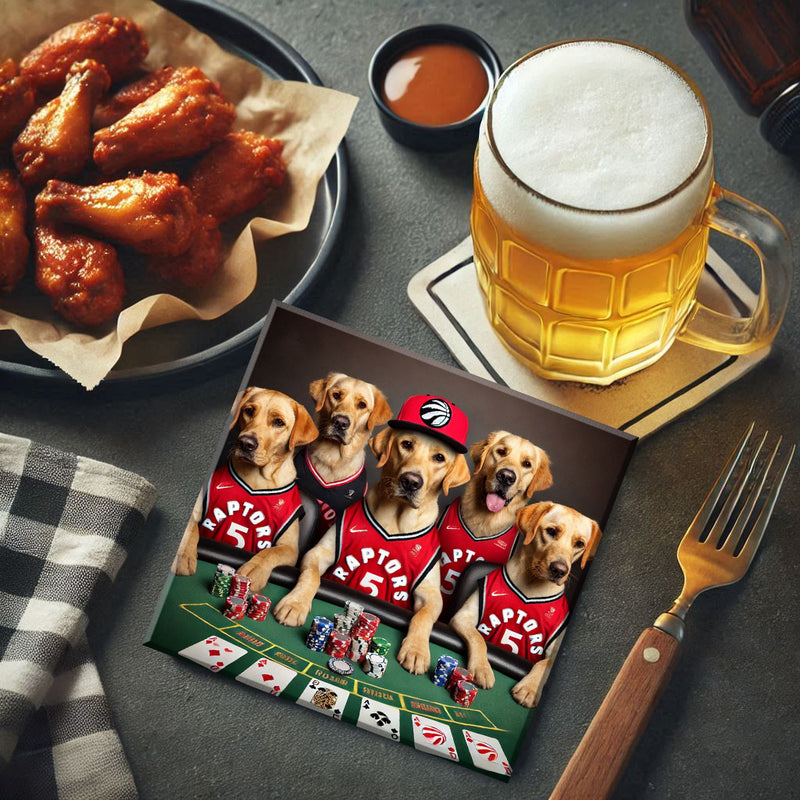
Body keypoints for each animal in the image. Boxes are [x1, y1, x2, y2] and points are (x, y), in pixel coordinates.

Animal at [172, 388, 318, 592]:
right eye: (249, 410)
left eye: (278, 422)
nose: (246, 443)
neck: (256, 478)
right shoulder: (198, 513)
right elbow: (192, 526)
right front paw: (184, 554)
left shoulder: (290, 549)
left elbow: (271, 552)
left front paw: (255, 568)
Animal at [276, 396, 472, 672]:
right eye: (406, 444)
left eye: (439, 457)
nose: (411, 481)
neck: (396, 519)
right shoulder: (318, 553)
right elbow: (311, 577)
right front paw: (296, 603)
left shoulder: (431, 593)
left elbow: (423, 615)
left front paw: (416, 649)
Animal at [450, 504, 600, 708]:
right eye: (551, 531)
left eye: (579, 544)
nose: (560, 570)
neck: (530, 586)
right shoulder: (463, 617)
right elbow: (478, 638)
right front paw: (482, 667)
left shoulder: (557, 650)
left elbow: (544, 663)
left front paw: (530, 688)